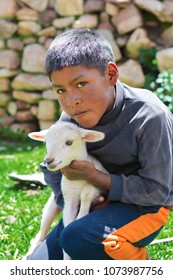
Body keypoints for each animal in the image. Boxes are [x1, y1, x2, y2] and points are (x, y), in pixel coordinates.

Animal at [25, 121, 107, 260]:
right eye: (46, 142)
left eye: (69, 142)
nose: (49, 160)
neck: (77, 182)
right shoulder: (68, 199)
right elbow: (67, 225)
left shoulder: (99, 184)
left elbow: (86, 193)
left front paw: (80, 216)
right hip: (50, 207)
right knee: (42, 231)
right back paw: (30, 251)